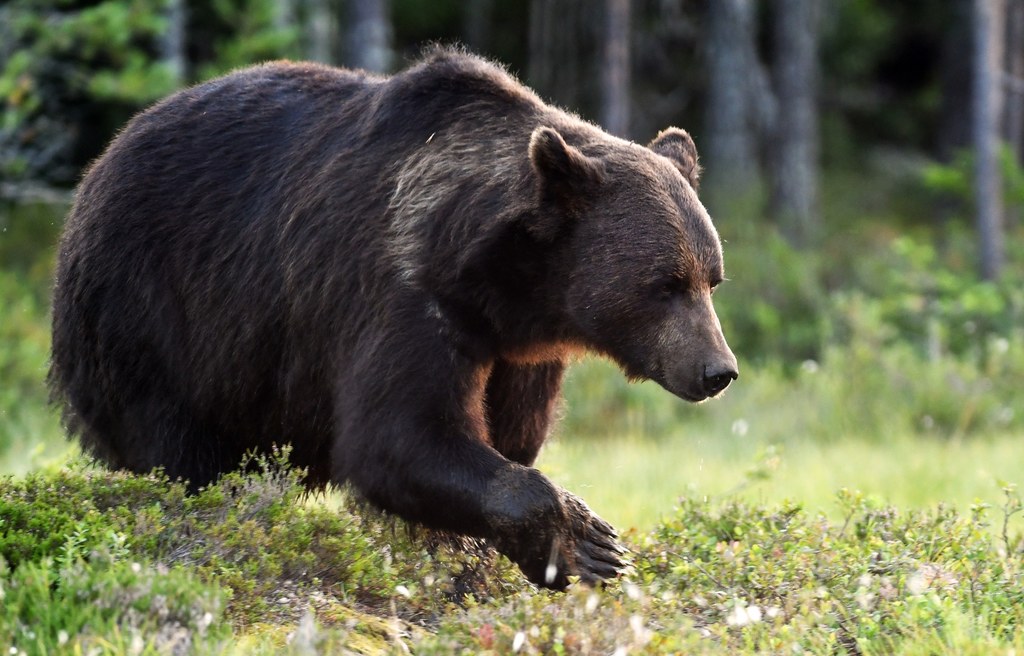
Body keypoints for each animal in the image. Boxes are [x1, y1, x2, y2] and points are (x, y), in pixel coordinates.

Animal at [49, 47, 737, 589]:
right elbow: (399, 437)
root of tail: (94, 173)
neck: (501, 287)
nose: (717, 370)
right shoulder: (399, 296)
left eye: (711, 278)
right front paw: (588, 543)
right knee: (176, 447)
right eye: (666, 284)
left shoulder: (521, 353)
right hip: (149, 314)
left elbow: (509, 436)